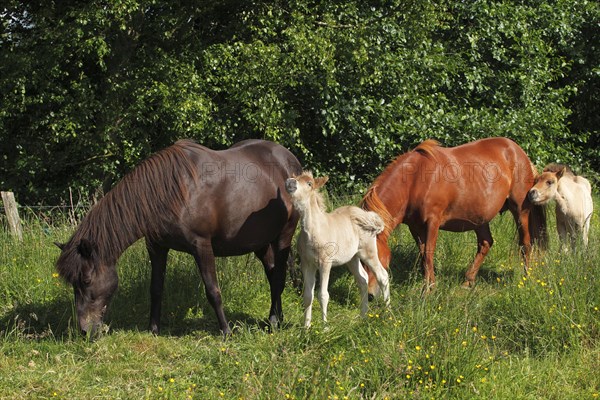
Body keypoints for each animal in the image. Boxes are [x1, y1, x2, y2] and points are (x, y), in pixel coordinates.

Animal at [55, 139, 300, 336]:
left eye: (86, 280)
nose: (84, 330)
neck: (172, 191)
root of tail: (289, 159)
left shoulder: (201, 246)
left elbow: (213, 291)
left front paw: (226, 331)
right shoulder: (156, 247)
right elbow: (155, 288)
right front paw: (153, 329)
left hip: (284, 236)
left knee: (278, 276)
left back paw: (274, 321)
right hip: (260, 242)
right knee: (272, 274)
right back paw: (276, 317)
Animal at [284, 172, 392, 328]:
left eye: (309, 183)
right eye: (297, 177)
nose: (290, 182)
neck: (313, 230)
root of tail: (366, 216)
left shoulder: (325, 263)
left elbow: (323, 295)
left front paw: (325, 327)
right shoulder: (307, 264)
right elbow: (308, 295)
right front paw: (306, 327)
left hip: (368, 253)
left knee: (382, 276)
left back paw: (389, 315)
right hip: (353, 258)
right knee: (363, 280)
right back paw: (363, 316)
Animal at [360, 137, 548, 290]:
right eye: (360, 261)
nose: (370, 295)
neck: (415, 181)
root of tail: (520, 153)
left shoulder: (432, 222)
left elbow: (428, 253)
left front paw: (429, 289)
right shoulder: (414, 226)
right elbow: (422, 254)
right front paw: (426, 281)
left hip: (520, 211)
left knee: (525, 244)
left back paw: (526, 278)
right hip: (479, 218)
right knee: (486, 243)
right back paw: (468, 280)